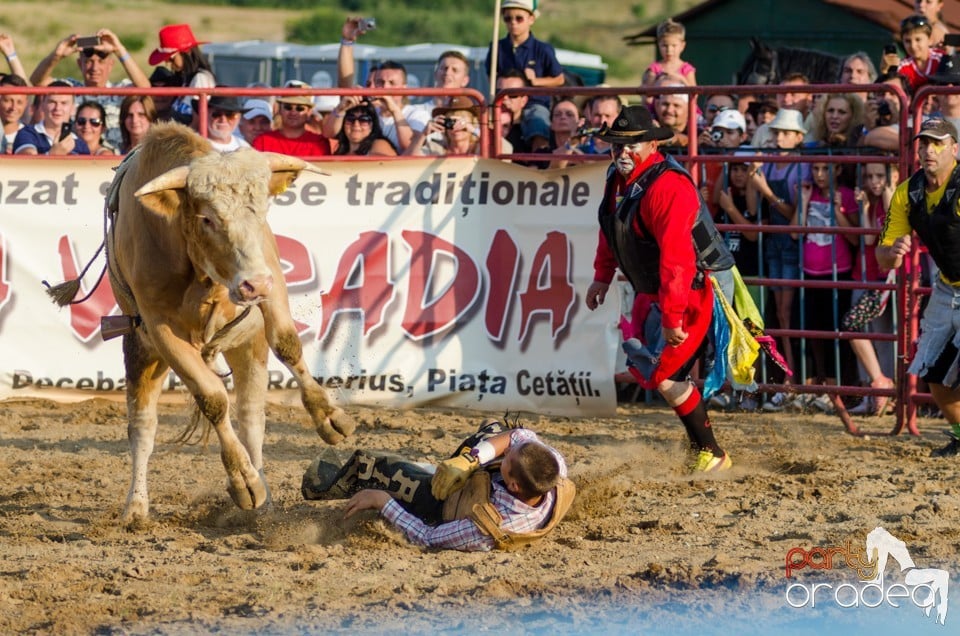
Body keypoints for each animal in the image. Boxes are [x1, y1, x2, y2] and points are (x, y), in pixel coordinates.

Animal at [108, 120, 356, 520]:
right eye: (207, 218)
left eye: (261, 209)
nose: (254, 285)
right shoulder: (161, 332)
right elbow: (212, 397)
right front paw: (243, 481)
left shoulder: (270, 274)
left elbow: (287, 342)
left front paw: (330, 416)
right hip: (142, 353)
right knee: (143, 428)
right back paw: (136, 507)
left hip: (247, 345)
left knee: (251, 416)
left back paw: (265, 496)